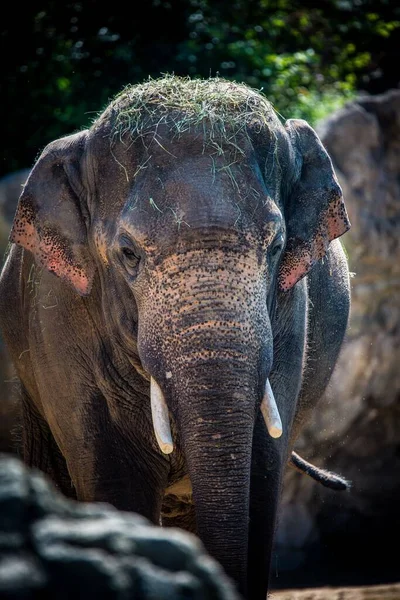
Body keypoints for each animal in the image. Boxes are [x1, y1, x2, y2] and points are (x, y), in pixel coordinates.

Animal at [0, 76, 350, 600]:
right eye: (127, 253)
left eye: (276, 247)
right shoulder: (58, 323)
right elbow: (115, 480)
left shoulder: (291, 318)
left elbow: (261, 473)